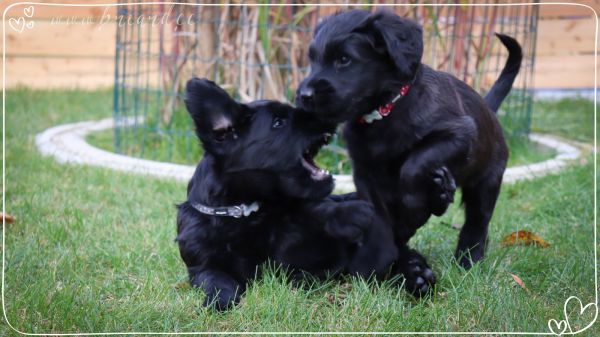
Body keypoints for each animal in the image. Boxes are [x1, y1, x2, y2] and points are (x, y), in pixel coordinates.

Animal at [176, 77, 396, 308]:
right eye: (278, 123)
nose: (323, 112)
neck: (246, 212)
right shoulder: (202, 265)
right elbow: (216, 279)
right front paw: (219, 301)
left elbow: (316, 209)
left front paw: (350, 213)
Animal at [298, 9, 524, 294]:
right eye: (312, 60)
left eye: (344, 59)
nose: (303, 95)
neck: (384, 113)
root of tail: (489, 110)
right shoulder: (364, 171)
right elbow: (377, 216)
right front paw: (376, 259)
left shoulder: (458, 134)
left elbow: (413, 165)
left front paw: (413, 207)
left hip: (487, 180)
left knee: (477, 221)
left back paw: (468, 257)